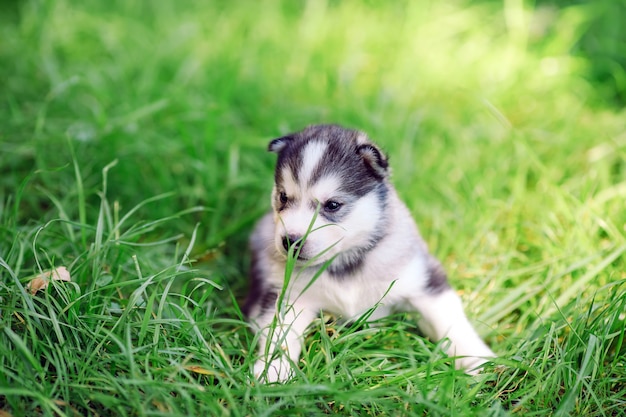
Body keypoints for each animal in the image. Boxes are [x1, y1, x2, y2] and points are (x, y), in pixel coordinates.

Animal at [244, 124, 492, 384]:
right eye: (283, 196)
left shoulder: (423, 279)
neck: (343, 263)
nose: (290, 241)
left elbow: (450, 320)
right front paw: (272, 372)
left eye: (332, 205)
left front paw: (477, 358)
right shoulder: (291, 295)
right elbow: (279, 336)